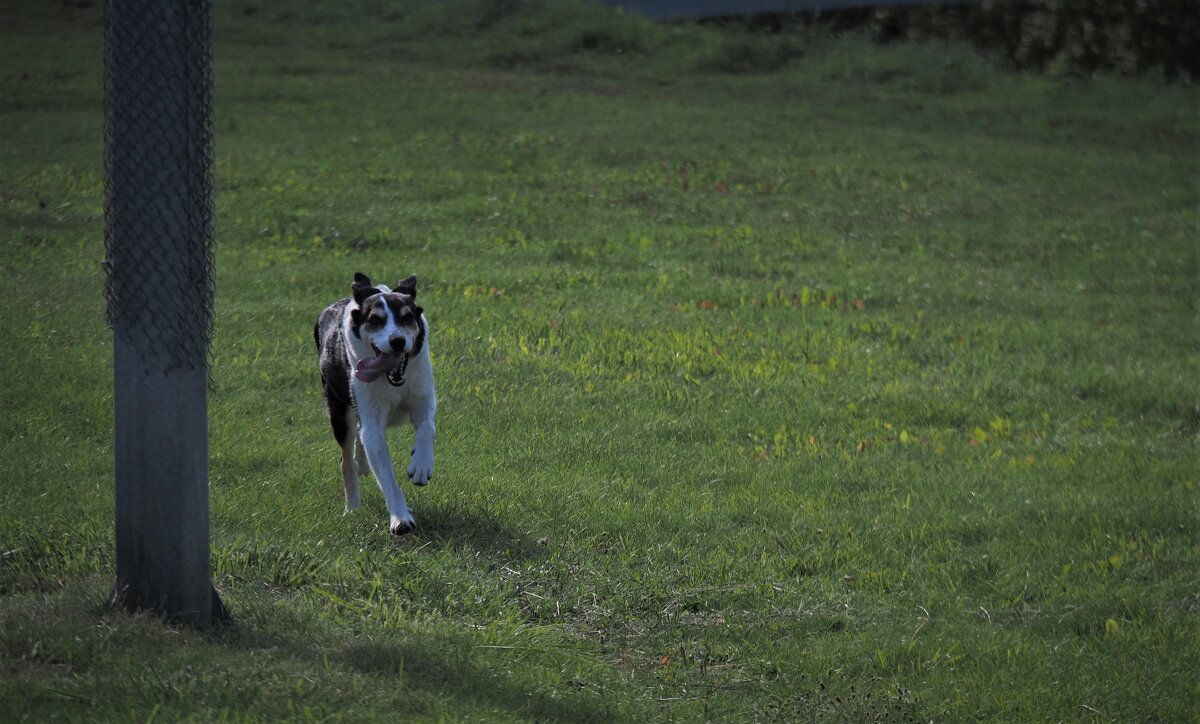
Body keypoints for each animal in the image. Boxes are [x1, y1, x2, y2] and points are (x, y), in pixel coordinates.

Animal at [314, 271, 436, 533]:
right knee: (346, 460)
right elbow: (385, 471)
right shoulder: (371, 419)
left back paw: (363, 464)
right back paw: (352, 508)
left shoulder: (421, 396)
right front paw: (401, 518)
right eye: (375, 320)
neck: (392, 380)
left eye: (407, 317)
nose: (397, 341)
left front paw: (421, 466)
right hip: (339, 409)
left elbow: (427, 428)